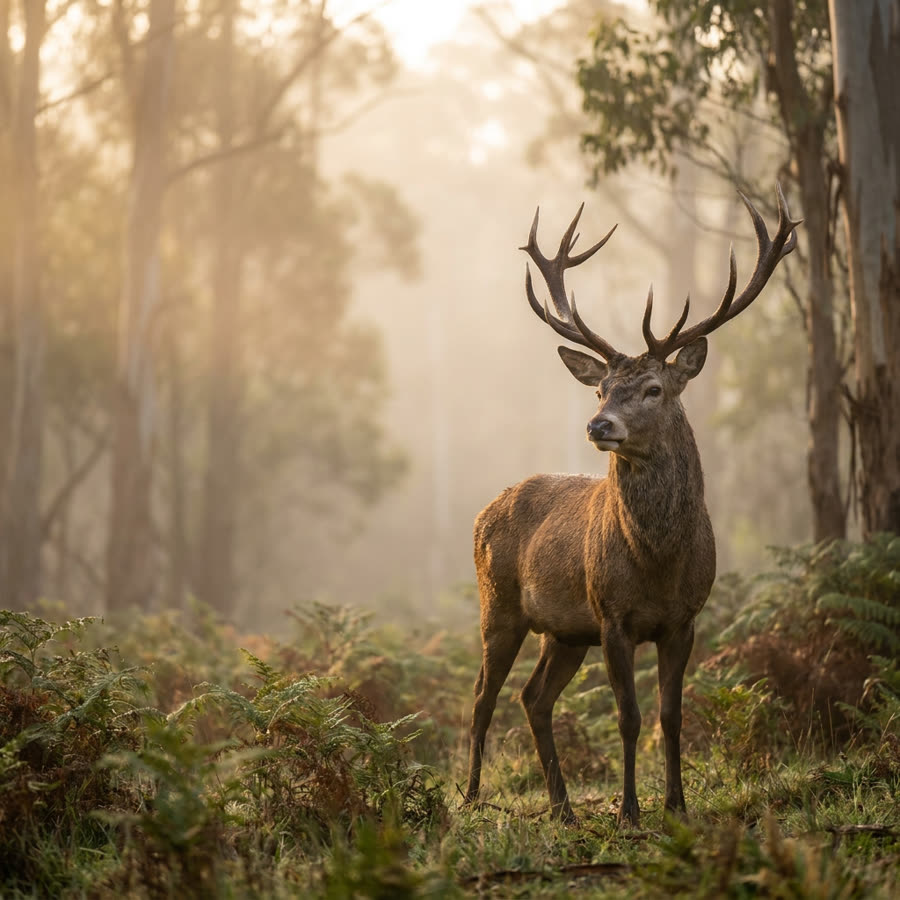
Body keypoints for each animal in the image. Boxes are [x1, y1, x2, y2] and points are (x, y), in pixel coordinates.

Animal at [464, 184, 799, 827]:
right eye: (599, 389)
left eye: (653, 389)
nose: (599, 425)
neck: (658, 563)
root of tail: (484, 511)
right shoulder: (612, 616)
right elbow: (629, 716)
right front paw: (630, 812)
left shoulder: (686, 618)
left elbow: (670, 716)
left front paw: (677, 806)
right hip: (501, 605)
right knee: (482, 696)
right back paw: (470, 800)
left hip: (564, 633)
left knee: (533, 697)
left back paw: (564, 809)